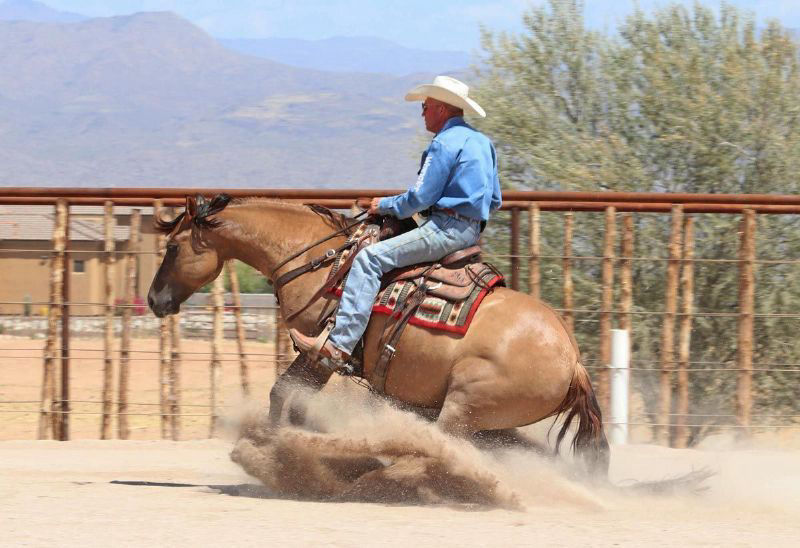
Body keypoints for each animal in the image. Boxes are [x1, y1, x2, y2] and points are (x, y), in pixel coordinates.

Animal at [147, 194, 610, 477]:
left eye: (173, 248)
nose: (153, 299)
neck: (321, 261)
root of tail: (573, 361)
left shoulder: (320, 352)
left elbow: (284, 394)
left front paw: (279, 457)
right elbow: (291, 397)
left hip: (463, 408)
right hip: (487, 419)